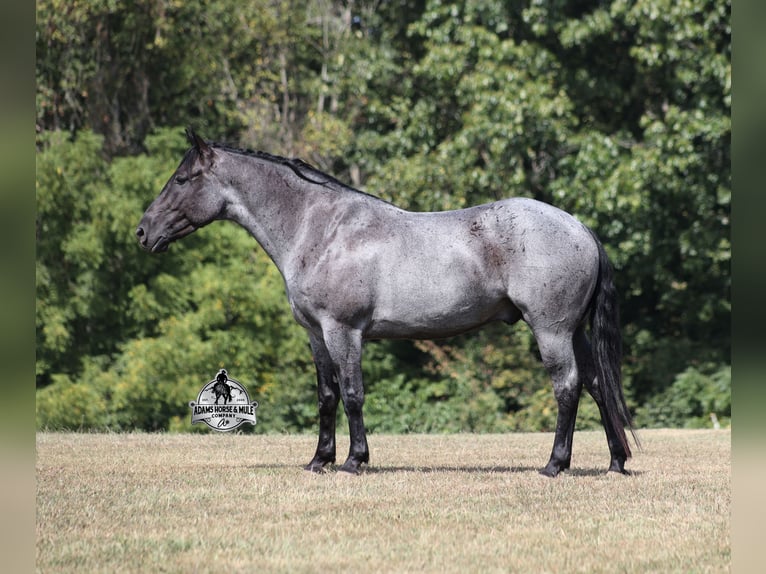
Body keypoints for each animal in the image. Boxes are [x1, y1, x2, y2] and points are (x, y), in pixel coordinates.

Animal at [136, 128, 640, 476]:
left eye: (181, 179)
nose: (143, 232)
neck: (322, 228)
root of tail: (580, 228)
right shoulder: (316, 334)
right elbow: (327, 396)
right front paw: (318, 460)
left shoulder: (343, 331)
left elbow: (353, 394)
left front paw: (354, 461)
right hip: (574, 332)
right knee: (597, 384)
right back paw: (616, 462)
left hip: (551, 331)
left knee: (568, 387)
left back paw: (555, 464)